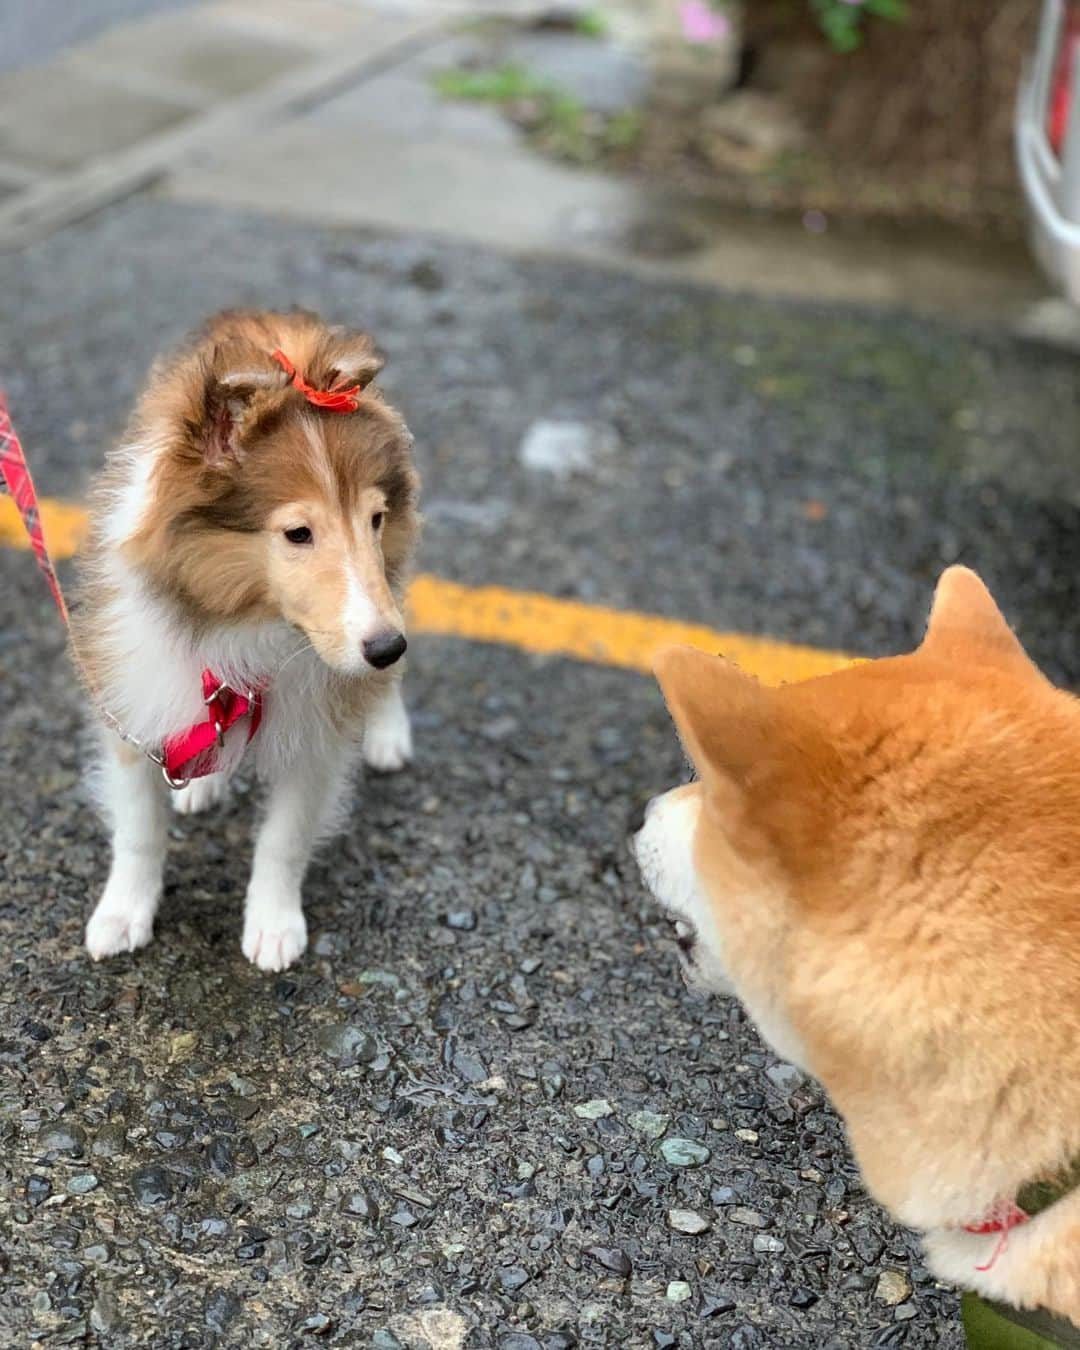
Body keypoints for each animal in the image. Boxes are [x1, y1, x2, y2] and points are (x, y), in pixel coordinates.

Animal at [72, 309, 421, 972]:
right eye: (298, 532)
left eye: (374, 518)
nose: (387, 648)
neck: (246, 621)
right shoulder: (137, 689)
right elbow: (138, 829)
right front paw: (123, 915)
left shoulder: (317, 730)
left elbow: (284, 840)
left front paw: (274, 927)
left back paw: (387, 731)